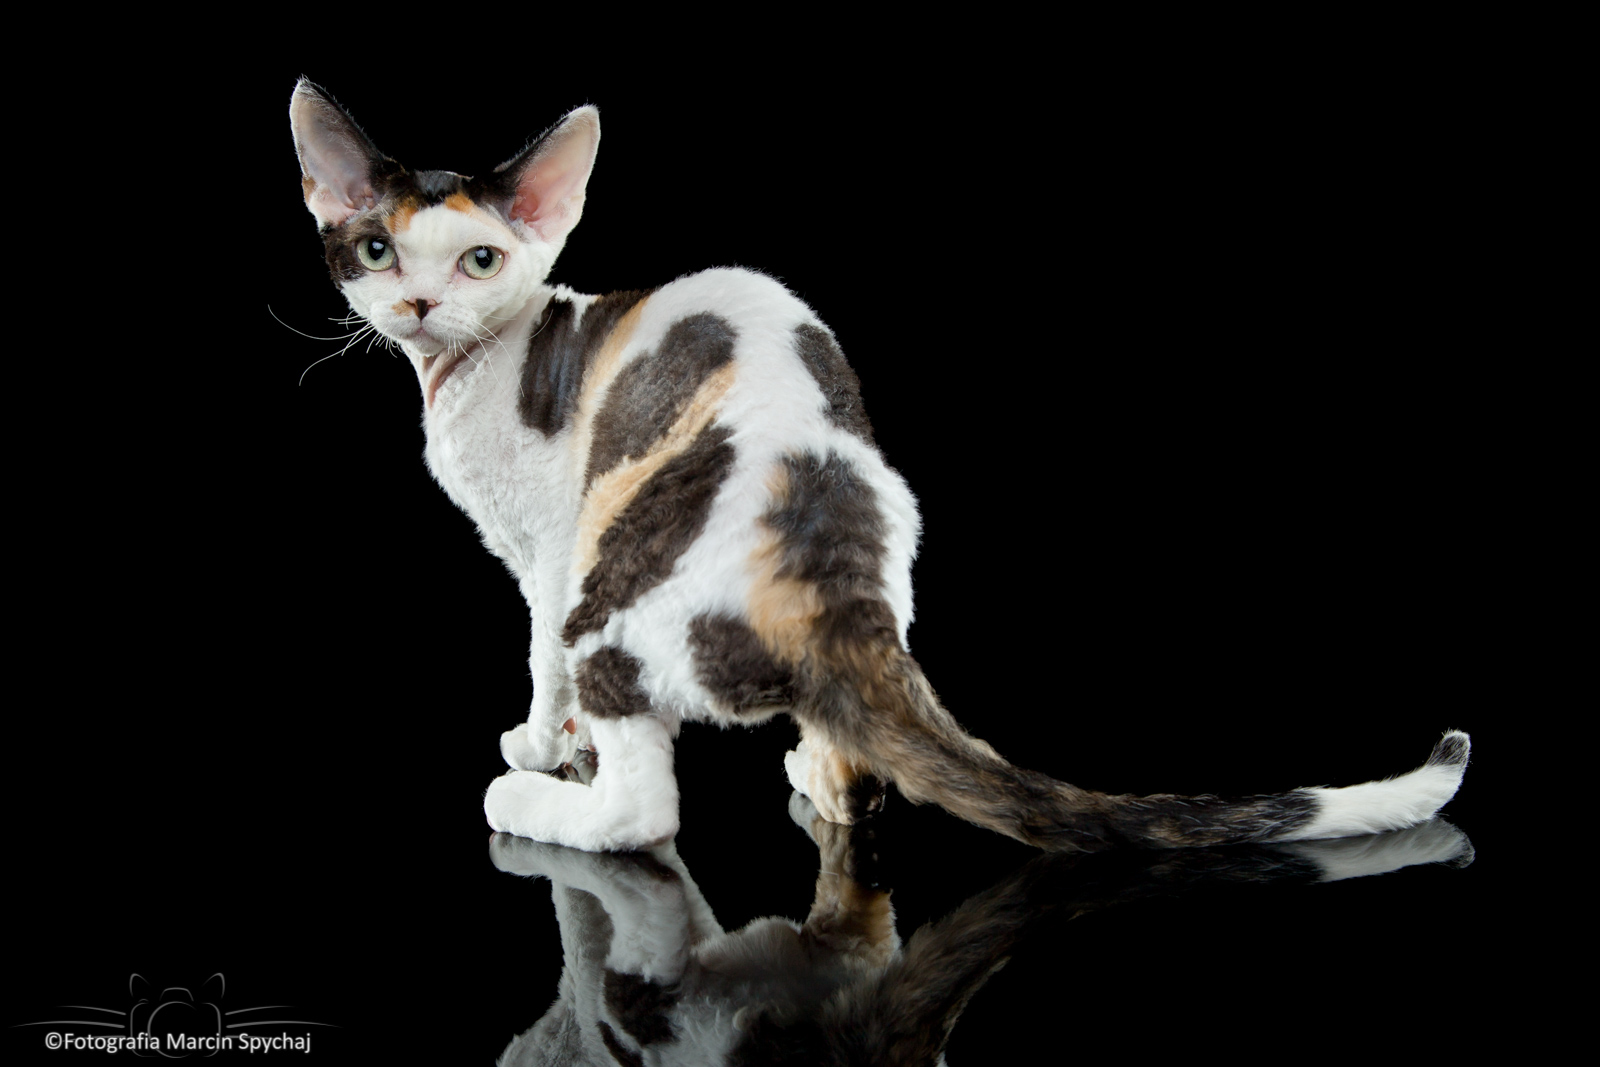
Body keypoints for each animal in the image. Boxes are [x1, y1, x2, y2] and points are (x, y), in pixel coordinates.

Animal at [288, 79, 1470, 853]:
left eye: (480, 259)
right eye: (377, 250)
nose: (420, 304)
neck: (474, 363)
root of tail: (828, 568)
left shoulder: (543, 549)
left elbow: (537, 659)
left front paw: (539, 744)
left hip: (607, 589)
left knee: (643, 812)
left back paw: (540, 807)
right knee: (858, 781)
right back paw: (817, 774)